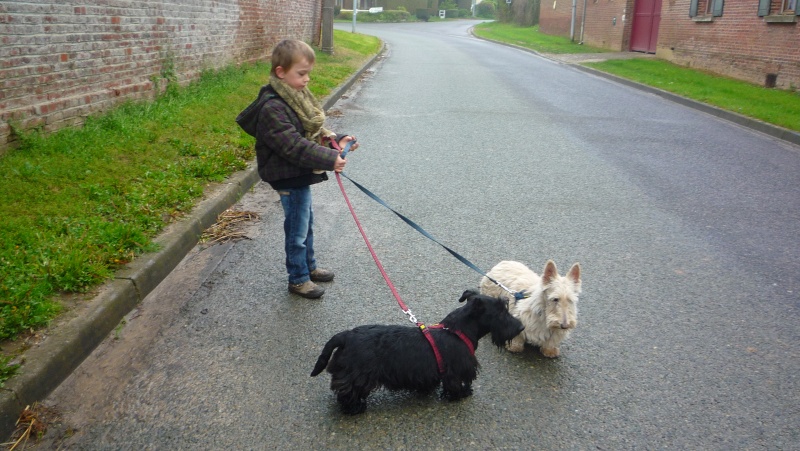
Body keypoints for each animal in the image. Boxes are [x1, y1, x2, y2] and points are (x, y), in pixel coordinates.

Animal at [308, 292, 524, 414]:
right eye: (501, 312)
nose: (521, 327)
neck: (457, 330)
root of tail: (346, 335)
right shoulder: (455, 372)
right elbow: (455, 385)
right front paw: (462, 394)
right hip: (357, 376)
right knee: (347, 392)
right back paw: (355, 408)